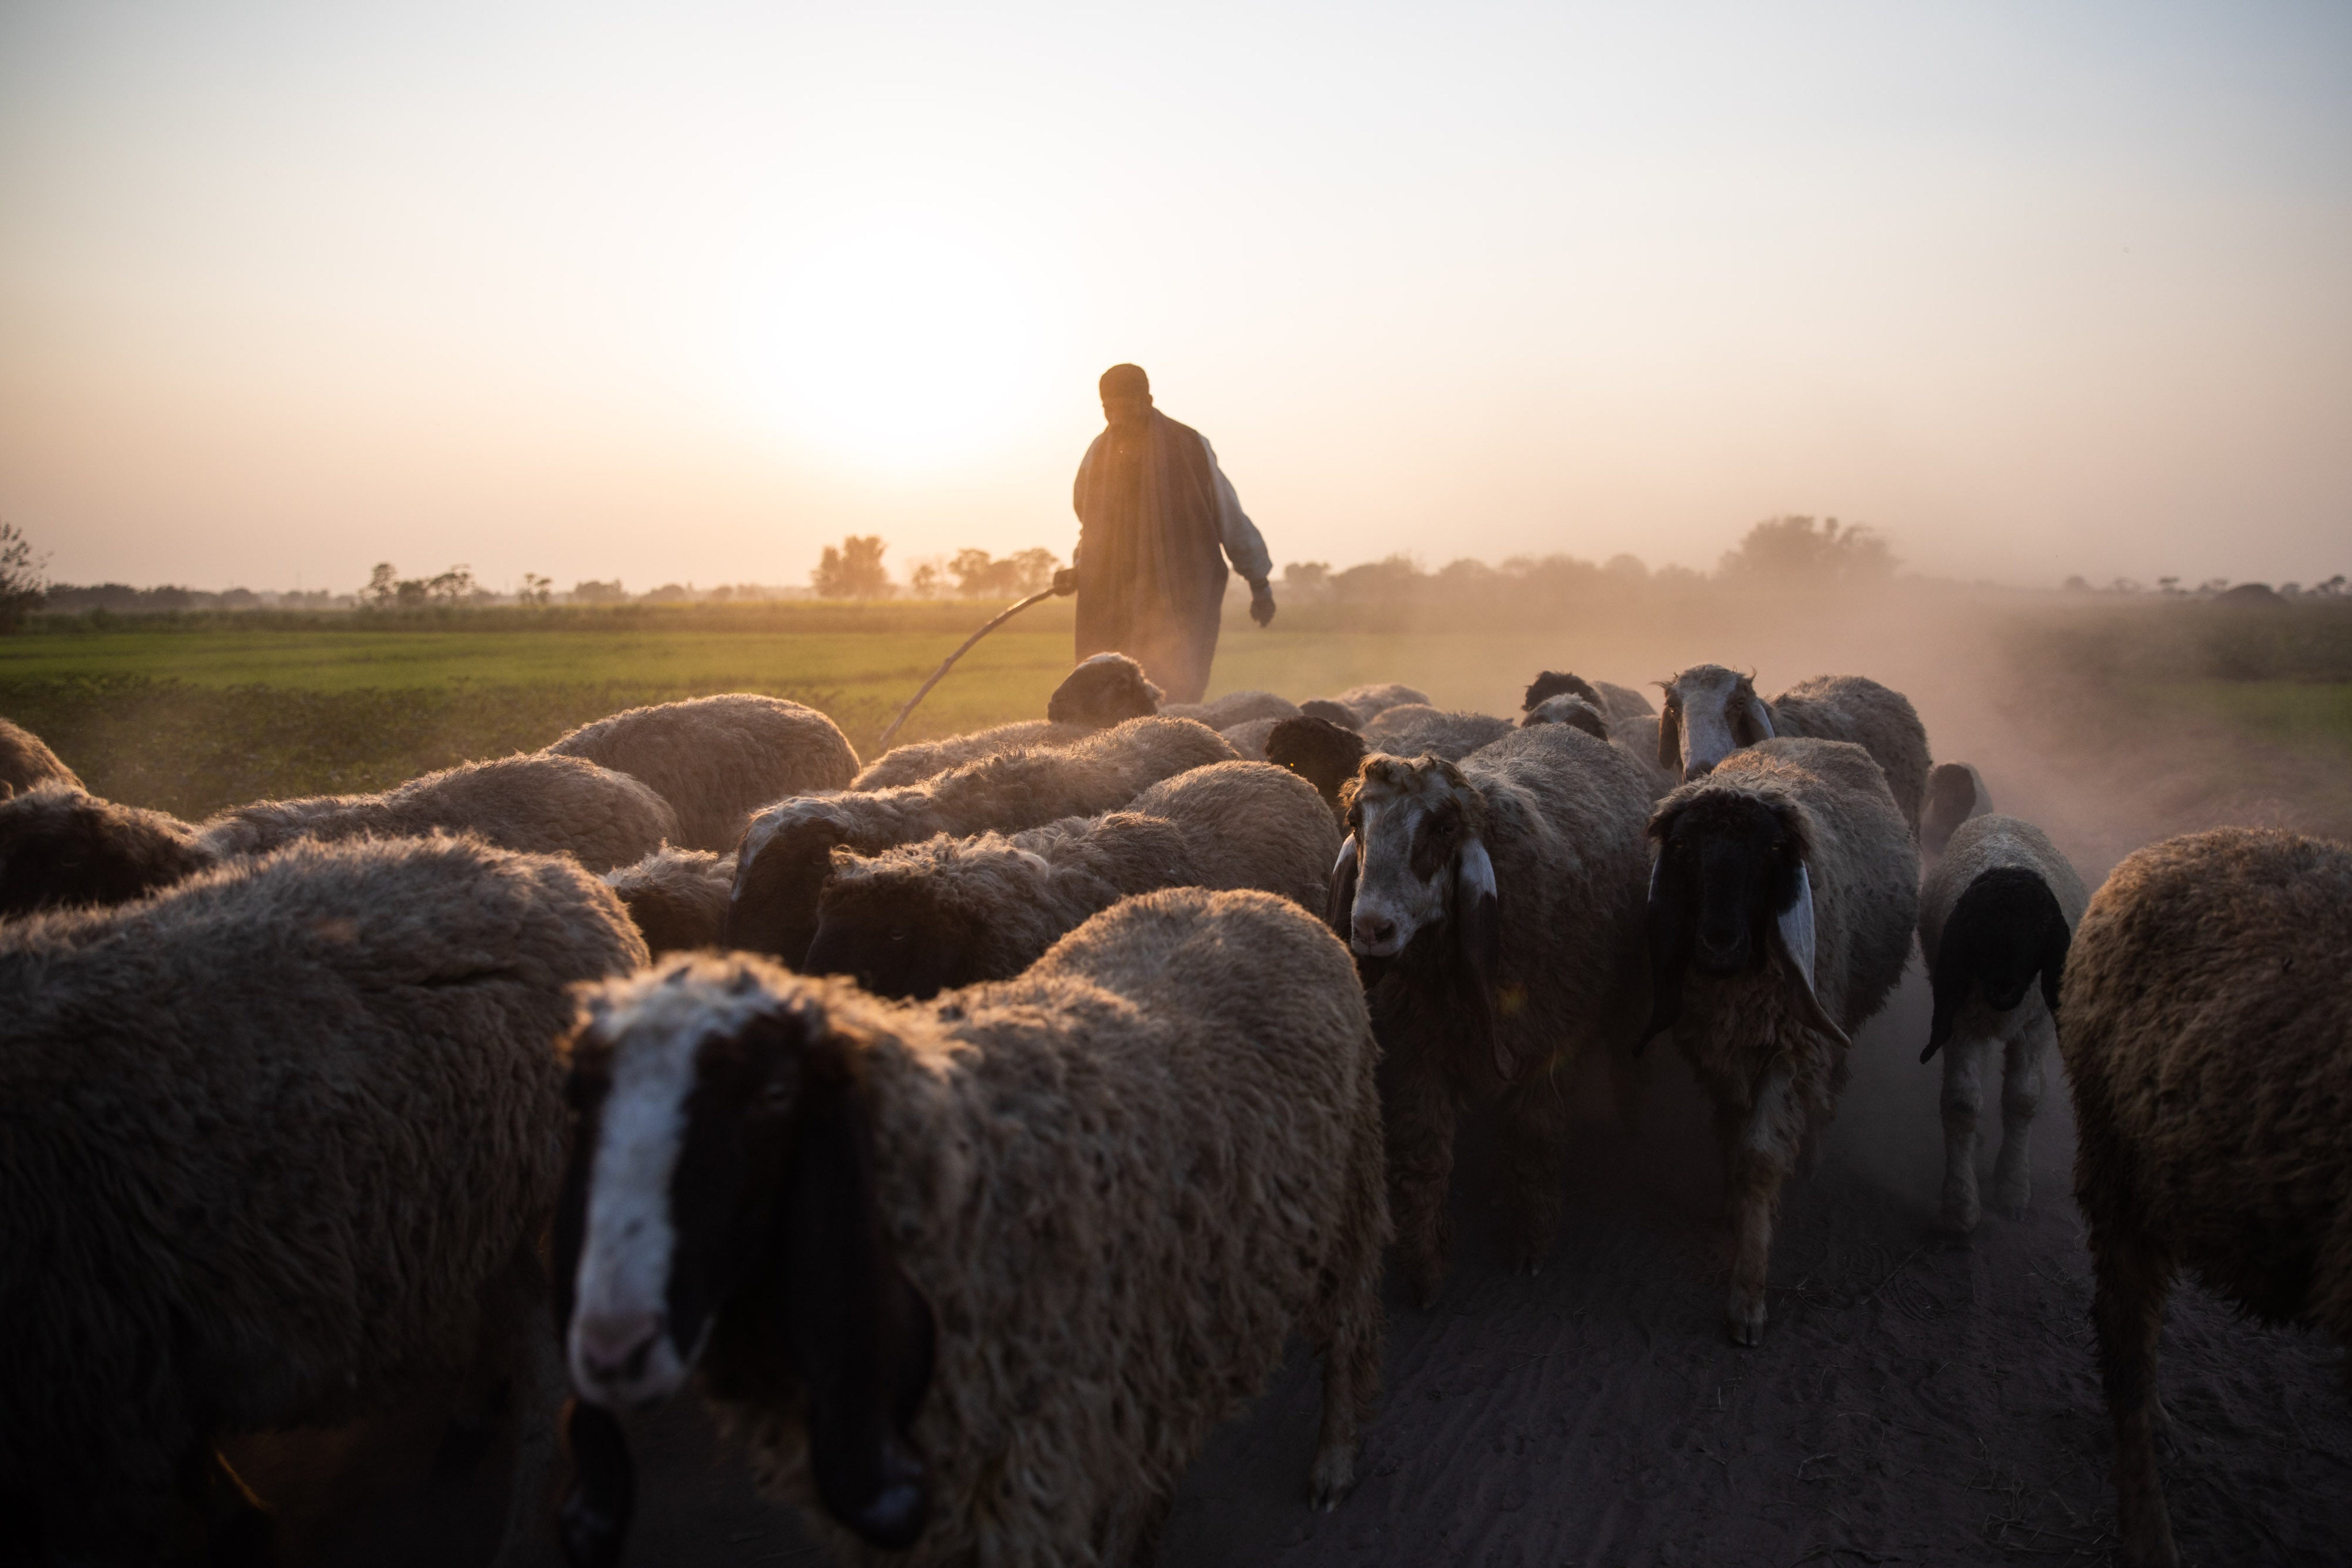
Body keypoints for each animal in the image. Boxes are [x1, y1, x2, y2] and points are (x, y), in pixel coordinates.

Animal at [0, 833, 648, 1564]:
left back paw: (519, 1535)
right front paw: (239, 1517)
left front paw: (236, 1517)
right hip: (472, 1202)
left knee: (547, 1364)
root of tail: (561, 878)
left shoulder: (95, 1397)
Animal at [554, 888, 1390, 1567]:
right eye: (583, 1097)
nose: (610, 1347)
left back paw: (1334, 1461)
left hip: (1341, 1194)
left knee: (1349, 1327)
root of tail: (1246, 896)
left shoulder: (1030, 1472)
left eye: (773, 1095)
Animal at [1329, 725, 1655, 1305]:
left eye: (1443, 828)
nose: (1370, 929)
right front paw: (1428, 1270)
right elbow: (1424, 1156)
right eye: (1354, 822)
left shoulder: (1546, 1046)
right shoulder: (1422, 1052)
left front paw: (1532, 1244)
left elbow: (1535, 1140)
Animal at [1643, 736, 1918, 1345]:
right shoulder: (1718, 1048)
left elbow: (1760, 1156)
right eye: (1683, 846)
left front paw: (1747, 1298)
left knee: (1831, 1085)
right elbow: (1730, 1129)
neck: (1739, 984)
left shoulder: (1793, 1048)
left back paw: (1813, 1156)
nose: (1718, 944)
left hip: (1838, 1014)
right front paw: (1732, 1207)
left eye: (1771, 848)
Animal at [1916, 814, 2087, 1233]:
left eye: (2037, 937)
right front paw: (1960, 1207)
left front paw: (2012, 1188)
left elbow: (2023, 1100)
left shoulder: (2037, 1024)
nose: (2004, 989)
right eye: (1982, 934)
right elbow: (1962, 1104)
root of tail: (1999, 818)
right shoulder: (1960, 1023)